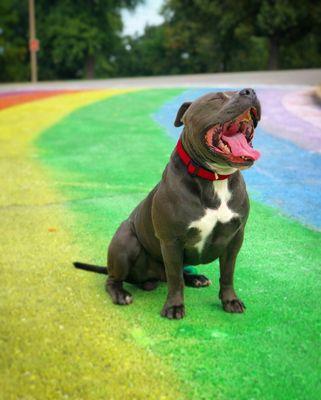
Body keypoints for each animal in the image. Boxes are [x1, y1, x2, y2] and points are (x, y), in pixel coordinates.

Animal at [75, 88, 260, 318]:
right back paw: (120, 294)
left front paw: (230, 300)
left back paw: (195, 278)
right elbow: (175, 279)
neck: (215, 179)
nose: (250, 91)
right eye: (216, 98)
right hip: (126, 240)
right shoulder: (171, 241)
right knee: (115, 278)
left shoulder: (235, 237)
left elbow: (227, 273)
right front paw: (174, 306)